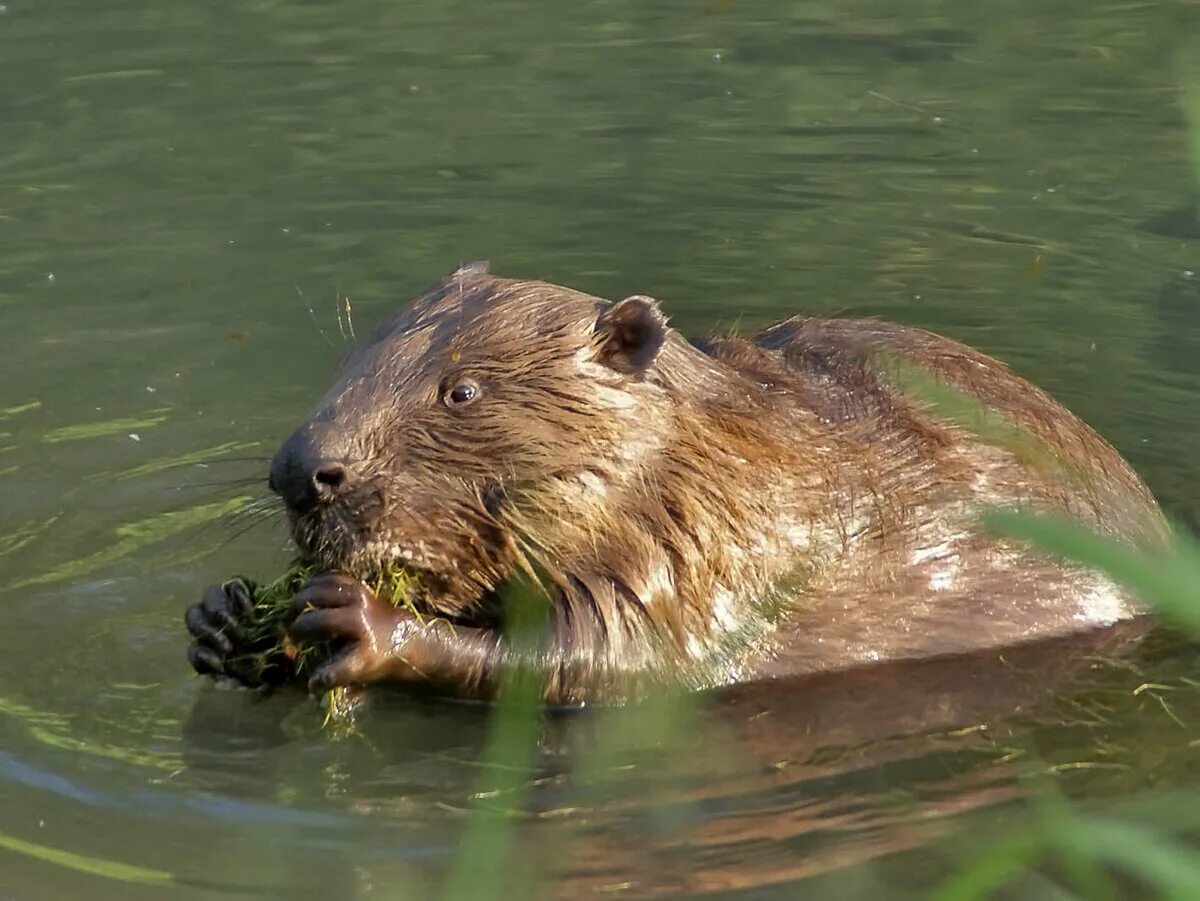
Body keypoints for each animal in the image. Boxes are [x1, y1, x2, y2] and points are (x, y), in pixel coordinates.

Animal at [184, 260, 1161, 705]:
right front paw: (223, 618)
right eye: (351, 359)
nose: (300, 471)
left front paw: (361, 619)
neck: (705, 451)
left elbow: (607, 662)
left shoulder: (703, 551)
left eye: (461, 390)